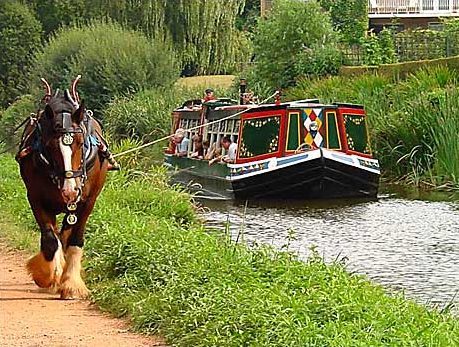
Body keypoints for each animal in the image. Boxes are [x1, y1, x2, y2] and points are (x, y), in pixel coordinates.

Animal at [15, 77, 108, 300]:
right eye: (49, 146)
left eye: (81, 142)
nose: (70, 190)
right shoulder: (35, 197)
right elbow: (50, 240)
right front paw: (45, 275)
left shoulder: (88, 201)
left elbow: (75, 238)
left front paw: (72, 284)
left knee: (66, 233)